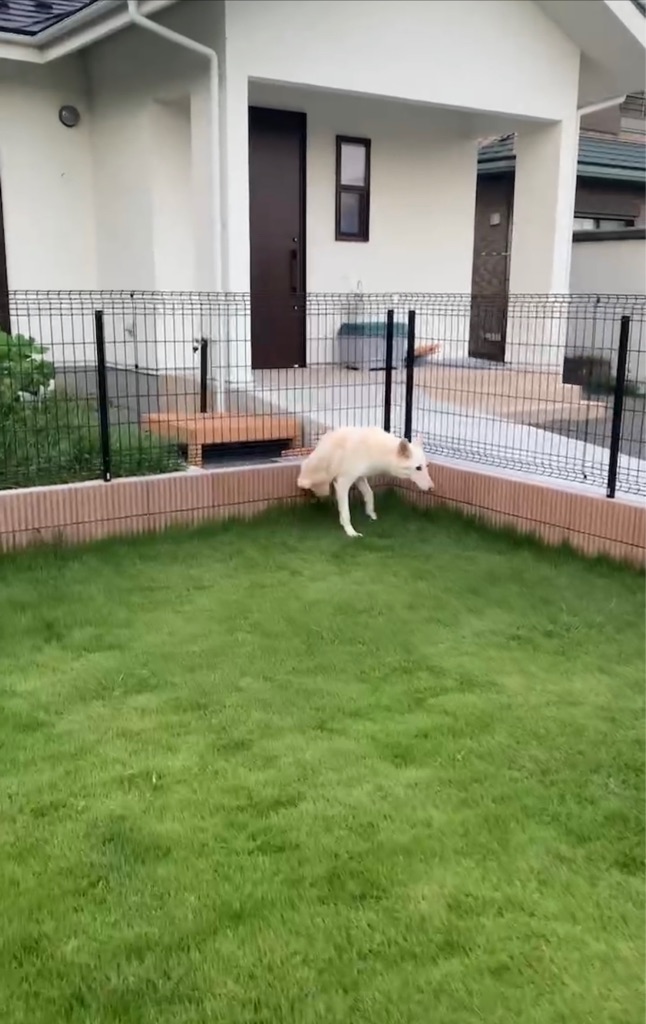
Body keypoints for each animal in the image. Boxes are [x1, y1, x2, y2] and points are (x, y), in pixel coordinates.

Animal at [297, 426, 434, 537]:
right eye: (418, 468)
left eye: (426, 466)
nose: (432, 488)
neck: (375, 451)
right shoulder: (342, 482)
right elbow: (346, 512)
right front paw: (350, 532)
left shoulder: (360, 478)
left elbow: (370, 494)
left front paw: (371, 515)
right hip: (319, 479)